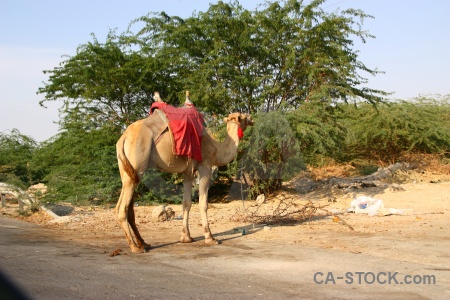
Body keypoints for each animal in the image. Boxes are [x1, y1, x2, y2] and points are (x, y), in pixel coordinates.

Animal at [114, 94, 253, 253]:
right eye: (243, 116)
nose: (251, 118)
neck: (216, 148)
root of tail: (123, 138)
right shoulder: (205, 167)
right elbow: (203, 203)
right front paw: (210, 238)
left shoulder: (188, 172)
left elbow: (186, 203)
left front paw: (186, 237)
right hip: (136, 163)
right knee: (122, 208)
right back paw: (135, 247)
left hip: (127, 171)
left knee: (127, 206)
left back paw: (144, 243)